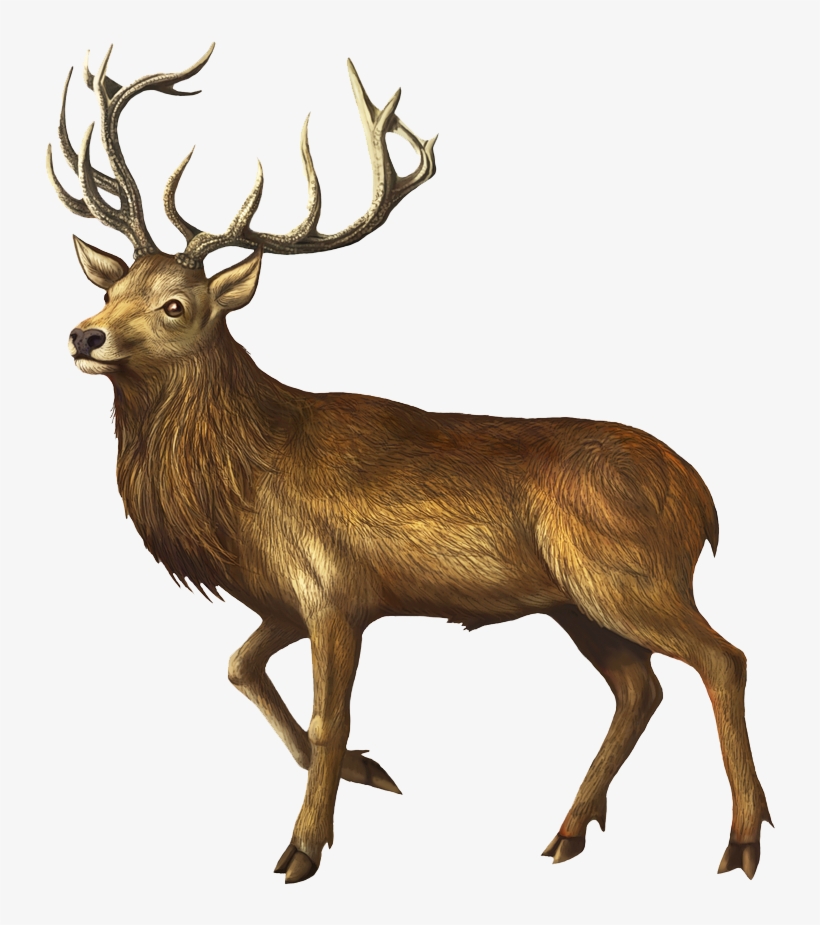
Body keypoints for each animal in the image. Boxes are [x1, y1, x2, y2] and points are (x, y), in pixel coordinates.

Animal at [48, 45, 771, 884]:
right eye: (111, 286)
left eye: (176, 305)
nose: (85, 334)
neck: (238, 486)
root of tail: (700, 495)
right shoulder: (281, 598)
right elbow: (238, 667)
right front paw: (367, 770)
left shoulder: (333, 588)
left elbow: (328, 717)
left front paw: (303, 845)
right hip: (578, 602)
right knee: (640, 687)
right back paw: (569, 828)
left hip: (627, 573)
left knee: (723, 658)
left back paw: (742, 839)